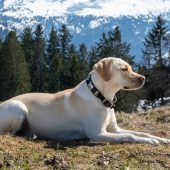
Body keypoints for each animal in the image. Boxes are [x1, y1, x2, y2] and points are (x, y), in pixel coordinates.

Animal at [0, 57, 169, 144]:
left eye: (131, 67)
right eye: (124, 69)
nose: (143, 78)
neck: (100, 97)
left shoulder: (115, 129)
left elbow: (140, 132)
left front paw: (160, 139)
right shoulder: (98, 134)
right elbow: (129, 136)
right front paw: (150, 142)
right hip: (18, 107)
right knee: (8, 133)